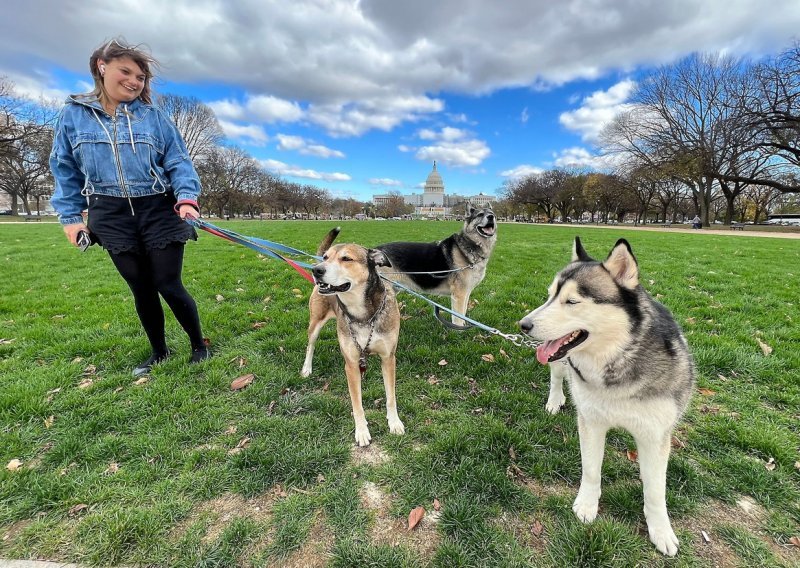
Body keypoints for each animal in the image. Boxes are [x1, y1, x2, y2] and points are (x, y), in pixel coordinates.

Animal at [300, 229, 404, 446]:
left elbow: (391, 397)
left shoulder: (388, 358)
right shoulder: (351, 364)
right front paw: (362, 431)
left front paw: (394, 423)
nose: (316, 270)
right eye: (326, 257)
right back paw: (306, 368)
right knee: (310, 345)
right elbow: (357, 403)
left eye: (346, 258)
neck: (363, 315)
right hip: (315, 321)